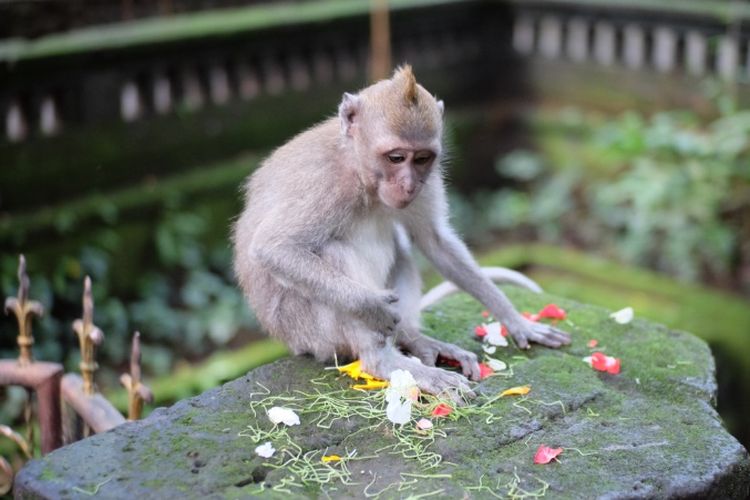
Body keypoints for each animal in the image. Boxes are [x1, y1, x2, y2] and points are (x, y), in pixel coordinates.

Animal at [235, 65, 568, 398]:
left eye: (421, 158)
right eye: (396, 157)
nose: (408, 185)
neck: (359, 170)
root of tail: (293, 344)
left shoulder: (427, 182)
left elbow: (435, 241)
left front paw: (516, 320)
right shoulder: (323, 183)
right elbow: (274, 249)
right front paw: (371, 307)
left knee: (402, 250)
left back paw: (414, 339)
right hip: (311, 334)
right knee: (331, 251)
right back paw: (383, 360)